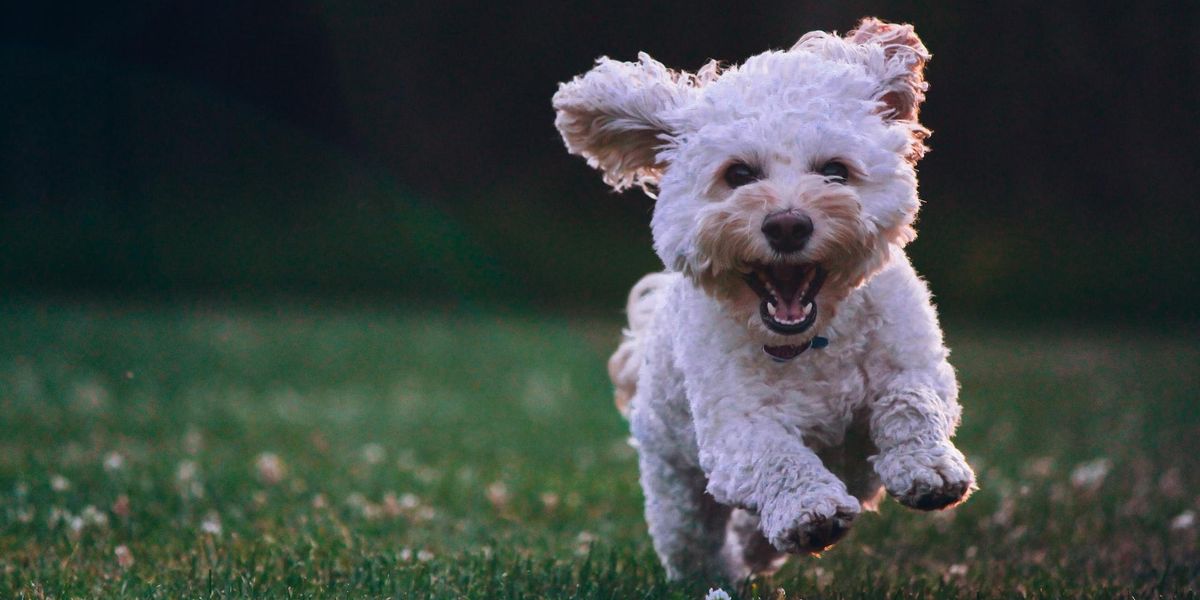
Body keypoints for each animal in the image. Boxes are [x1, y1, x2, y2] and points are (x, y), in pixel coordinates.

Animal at [552, 17, 974, 580]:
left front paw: (928, 468)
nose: (788, 225)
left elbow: (912, 401)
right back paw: (722, 572)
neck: (812, 341)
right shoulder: (735, 429)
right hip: (674, 483)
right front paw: (808, 510)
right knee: (692, 540)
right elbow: (775, 456)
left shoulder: (915, 362)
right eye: (738, 175)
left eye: (835, 171)